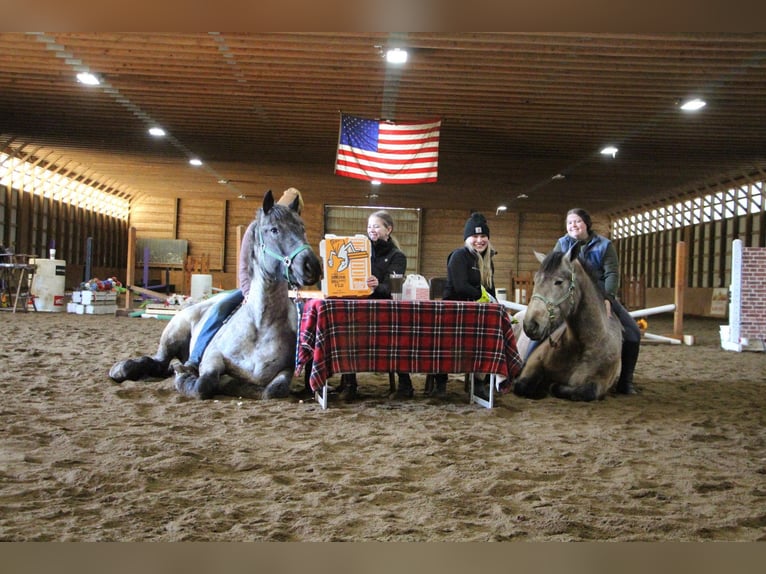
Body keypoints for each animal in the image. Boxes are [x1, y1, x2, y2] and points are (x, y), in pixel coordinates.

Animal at [109, 191, 322, 402]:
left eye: (302, 228)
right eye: (274, 230)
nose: (312, 266)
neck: (260, 327)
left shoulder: (286, 370)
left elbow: (274, 390)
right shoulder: (213, 357)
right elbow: (204, 384)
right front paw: (185, 378)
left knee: (162, 367)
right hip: (173, 335)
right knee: (158, 361)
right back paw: (121, 369)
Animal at [512, 245, 628, 402]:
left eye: (559, 282)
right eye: (535, 280)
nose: (531, 325)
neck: (583, 344)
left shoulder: (599, 384)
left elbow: (582, 391)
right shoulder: (533, 363)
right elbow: (521, 385)